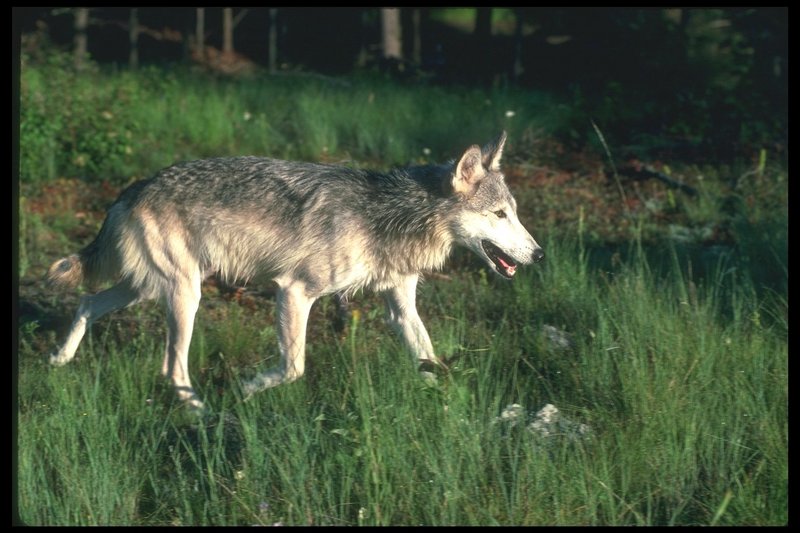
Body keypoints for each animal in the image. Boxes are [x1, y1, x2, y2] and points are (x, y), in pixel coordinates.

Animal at [45, 132, 544, 408]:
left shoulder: (400, 308)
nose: (539, 255)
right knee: (172, 370)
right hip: (184, 295)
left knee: (87, 301)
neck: (390, 216)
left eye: (515, 213)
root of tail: (134, 188)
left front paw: (446, 409)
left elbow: (430, 361)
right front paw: (246, 390)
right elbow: (293, 369)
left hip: (149, 290)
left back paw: (59, 360)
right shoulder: (295, 292)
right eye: (500, 215)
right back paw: (205, 415)